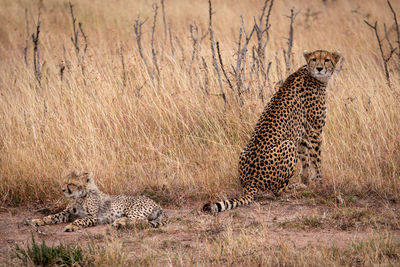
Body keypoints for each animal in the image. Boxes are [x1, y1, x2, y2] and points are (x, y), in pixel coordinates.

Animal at [29, 172, 167, 232]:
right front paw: (38, 220)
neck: (79, 196)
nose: (62, 190)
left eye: (70, 183)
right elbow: (52, 216)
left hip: (133, 210)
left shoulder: (94, 217)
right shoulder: (68, 213)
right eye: (63, 182)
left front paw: (71, 226)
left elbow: (80, 220)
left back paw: (118, 222)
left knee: (140, 221)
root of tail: (157, 203)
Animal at [205, 49, 342, 215]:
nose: (320, 68)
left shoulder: (302, 136)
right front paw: (319, 183)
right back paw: (293, 189)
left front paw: (306, 182)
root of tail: (250, 182)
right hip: (288, 144)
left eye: (327, 60)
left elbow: (305, 161)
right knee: (277, 190)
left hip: (247, 151)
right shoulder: (314, 132)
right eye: (314, 59)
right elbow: (316, 160)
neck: (313, 76)